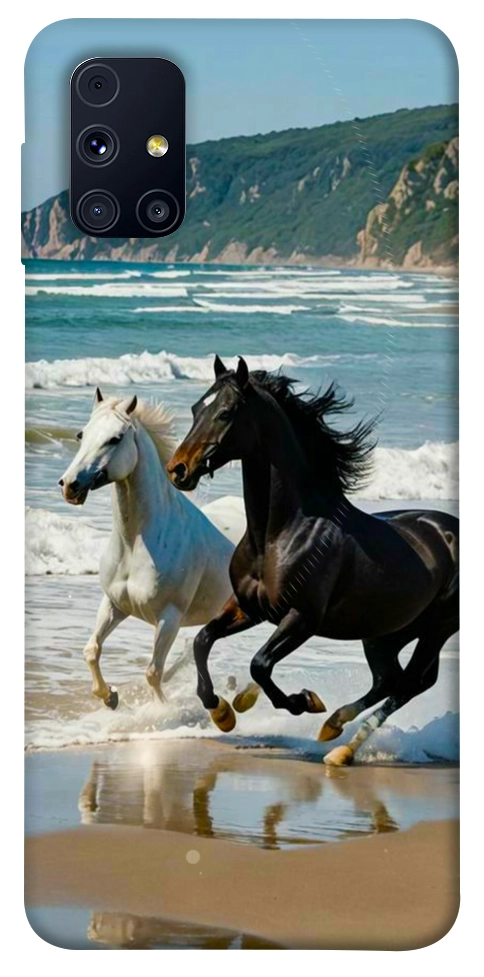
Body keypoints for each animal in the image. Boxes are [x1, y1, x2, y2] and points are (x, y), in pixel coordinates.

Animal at [59, 387, 234, 709]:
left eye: (115, 438)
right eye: (81, 434)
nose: (69, 485)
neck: (135, 544)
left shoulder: (169, 618)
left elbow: (153, 672)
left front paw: (161, 711)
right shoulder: (114, 604)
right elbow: (91, 650)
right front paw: (110, 697)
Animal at [166, 356, 459, 765]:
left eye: (225, 413)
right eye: (196, 409)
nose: (178, 469)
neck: (279, 534)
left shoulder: (302, 618)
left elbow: (260, 664)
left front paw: (303, 701)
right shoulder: (248, 608)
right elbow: (202, 640)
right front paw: (223, 711)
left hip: (436, 629)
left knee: (411, 683)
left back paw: (341, 746)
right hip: (386, 632)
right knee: (390, 679)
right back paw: (334, 729)